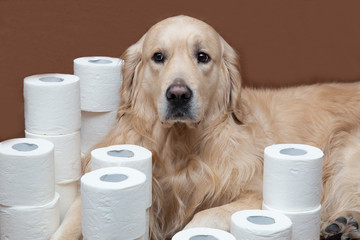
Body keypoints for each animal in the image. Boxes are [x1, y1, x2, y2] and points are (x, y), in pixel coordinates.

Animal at [52, 15, 360, 240]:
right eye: (158, 56)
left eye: (202, 56)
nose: (178, 94)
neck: (179, 148)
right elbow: (72, 221)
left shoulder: (258, 192)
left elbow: (204, 216)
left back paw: (346, 222)